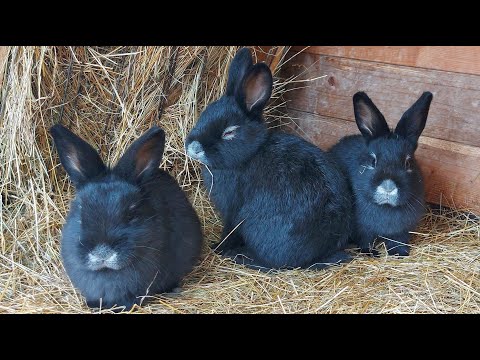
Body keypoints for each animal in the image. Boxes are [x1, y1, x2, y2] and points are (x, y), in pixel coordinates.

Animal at [185, 47, 352, 272]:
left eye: (229, 132)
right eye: (204, 114)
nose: (193, 148)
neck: (250, 154)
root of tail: (318, 252)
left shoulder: (233, 210)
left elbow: (230, 230)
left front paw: (218, 247)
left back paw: (241, 256)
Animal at [330, 91, 432, 258]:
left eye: (408, 162)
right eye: (373, 161)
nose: (388, 187)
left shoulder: (401, 231)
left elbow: (398, 241)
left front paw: (400, 253)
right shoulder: (363, 229)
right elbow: (366, 240)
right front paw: (371, 253)